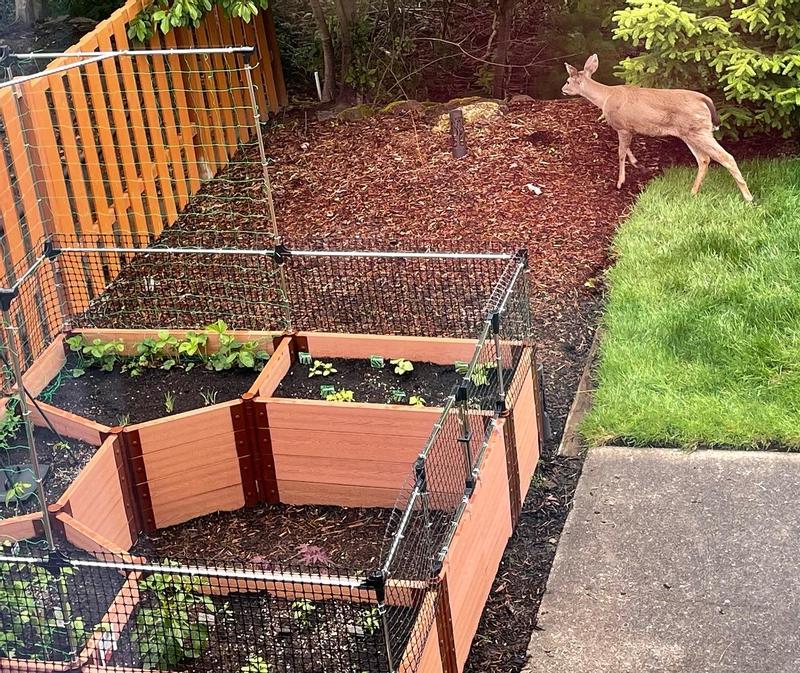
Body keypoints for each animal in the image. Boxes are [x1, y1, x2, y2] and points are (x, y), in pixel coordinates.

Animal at [562, 54, 753, 202]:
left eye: (568, 80)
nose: (563, 89)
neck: (605, 97)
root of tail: (705, 100)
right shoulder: (629, 128)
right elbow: (627, 150)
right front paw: (638, 164)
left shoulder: (622, 127)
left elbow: (620, 153)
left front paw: (620, 182)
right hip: (691, 132)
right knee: (704, 159)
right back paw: (693, 192)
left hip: (698, 130)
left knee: (726, 157)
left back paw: (748, 197)